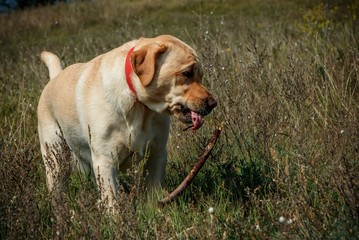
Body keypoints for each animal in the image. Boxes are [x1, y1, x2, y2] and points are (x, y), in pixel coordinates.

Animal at [37, 34, 217, 207]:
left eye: (201, 76)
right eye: (186, 73)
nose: (213, 104)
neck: (139, 105)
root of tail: (55, 77)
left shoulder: (158, 152)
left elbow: (152, 192)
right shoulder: (105, 161)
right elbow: (112, 202)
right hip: (56, 161)